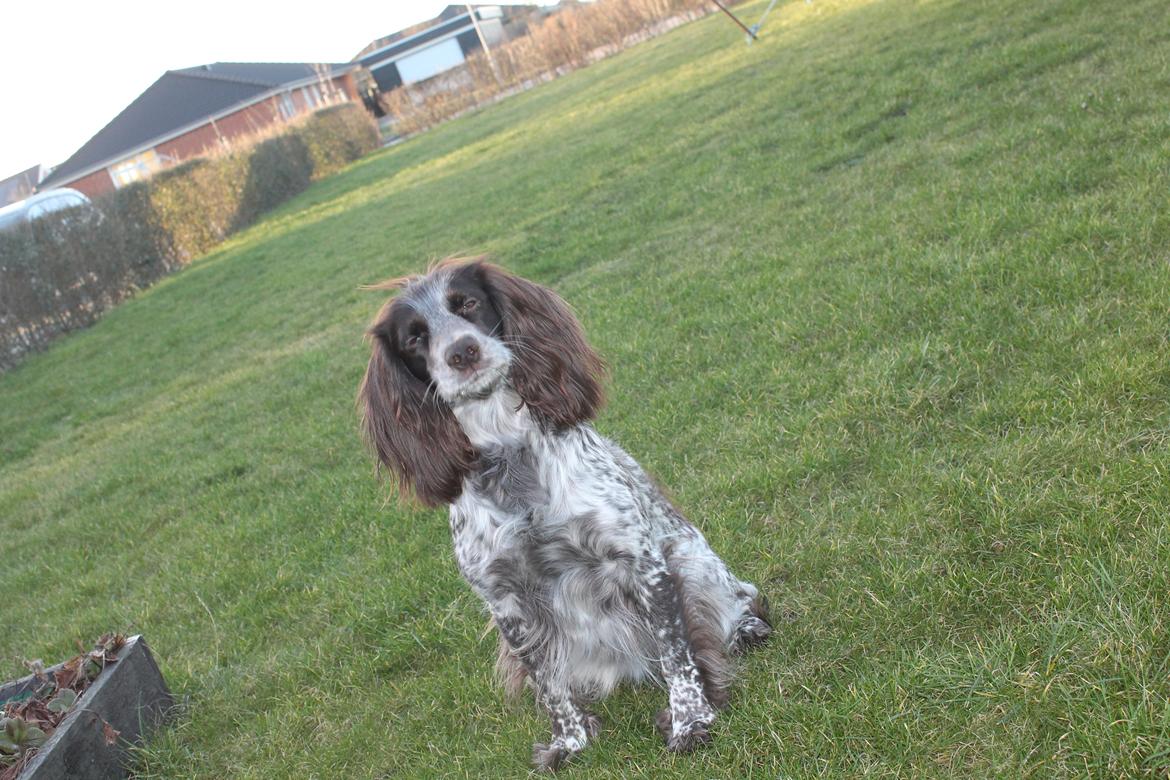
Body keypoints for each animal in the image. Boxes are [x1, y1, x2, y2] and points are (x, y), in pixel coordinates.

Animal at [360, 260, 772, 767]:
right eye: (415, 338)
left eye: (468, 303)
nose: (462, 352)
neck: (510, 461)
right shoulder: (507, 603)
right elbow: (550, 686)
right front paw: (570, 742)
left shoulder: (644, 564)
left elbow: (678, 653)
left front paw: (691, 720)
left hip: (689, 561)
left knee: (735, 604)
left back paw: (745, 631)